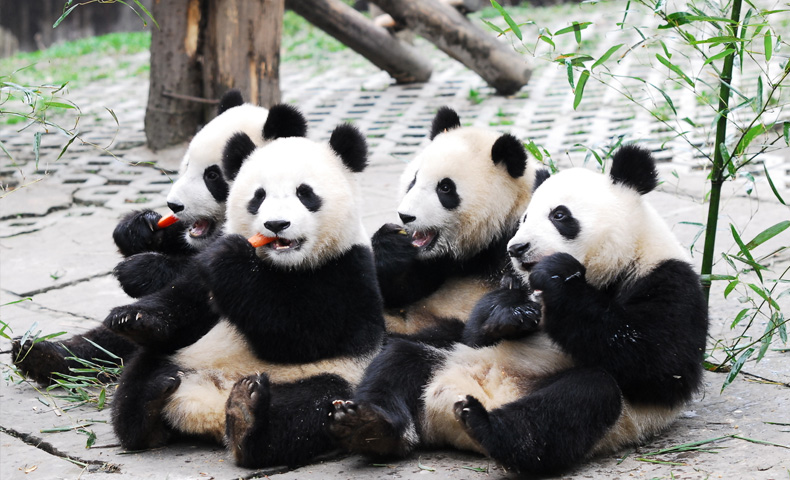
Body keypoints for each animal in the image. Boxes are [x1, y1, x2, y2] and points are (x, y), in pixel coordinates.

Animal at [13, 94, 310, 386]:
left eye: (213, 175)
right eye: (186, 166)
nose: (174, 204)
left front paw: (138, 270)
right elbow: (175, 239)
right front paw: (138, 228)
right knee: (111, 336)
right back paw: (44, 355)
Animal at [109, 121, 386, 468]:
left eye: (304, 193)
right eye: (259, 196)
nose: (276, 224)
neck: (280, 265)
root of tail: (208, 405)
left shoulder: (349, 271)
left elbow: (305, 333)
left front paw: (230, 257)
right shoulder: (199, 278)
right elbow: (182, 302)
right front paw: (133, 318)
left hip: (332, 375)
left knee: (309, 409)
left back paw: (247, 417)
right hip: (182, 356)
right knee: (141, 372)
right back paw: (148, 408)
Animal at [328, 144, 712, 474]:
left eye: (560, 215)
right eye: (524, 217)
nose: (517, 247)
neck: (609, 269)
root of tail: (447, 414)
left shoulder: (668, 279)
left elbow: (661, 361)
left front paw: (557, 278)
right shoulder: (504, 285)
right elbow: (475, 326)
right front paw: (509, 316)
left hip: (611, 418)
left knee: (575, 403)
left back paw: (489, 427)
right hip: (450, 359)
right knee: (399, 360)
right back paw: (369, 426)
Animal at [376, 107, 544, 344]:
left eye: (445, 188)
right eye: (413, 181)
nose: (405, 216)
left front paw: (510, 310)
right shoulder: (438, 262)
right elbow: (400, 290)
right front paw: (391, 244)